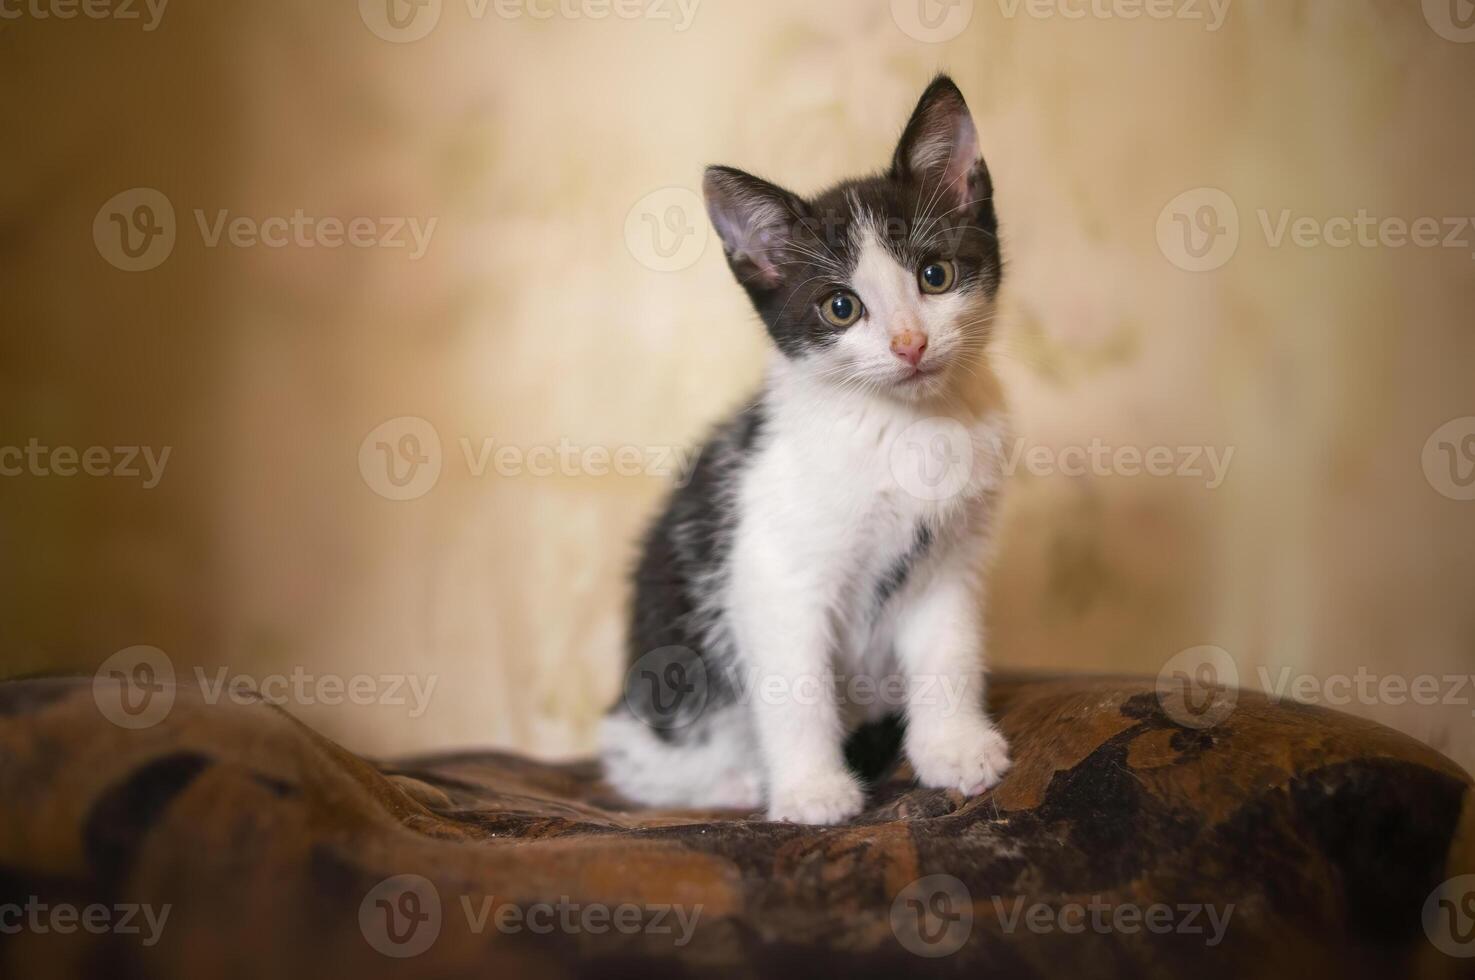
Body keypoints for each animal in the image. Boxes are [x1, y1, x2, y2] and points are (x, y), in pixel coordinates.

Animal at [604, 76, 1008, 820]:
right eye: (840, 308)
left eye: (934, 275)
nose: (910, 343)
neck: (904, 426)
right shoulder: (771, 575)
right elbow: (796, 689)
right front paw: (812, 789)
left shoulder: (948, 559)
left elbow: (949, 652)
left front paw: (954, 748)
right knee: (630, 759)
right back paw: (736, 783)